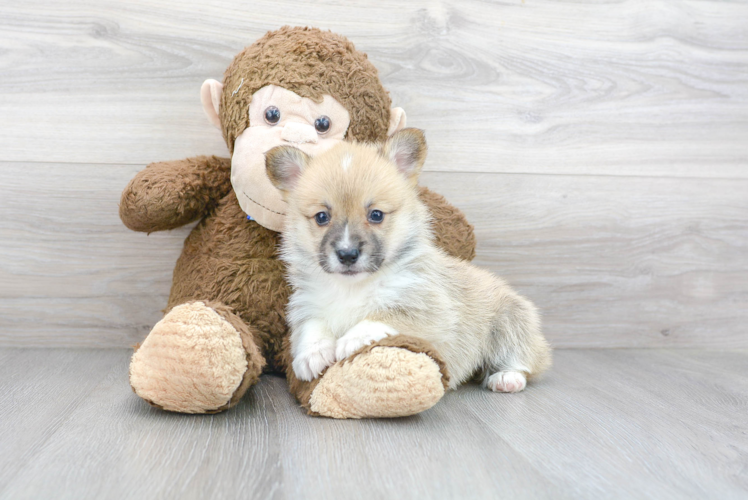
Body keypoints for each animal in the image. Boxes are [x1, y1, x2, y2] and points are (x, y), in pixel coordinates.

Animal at [264, 130, 548, 394]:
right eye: (322, 217)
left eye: (376, 215)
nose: (347, 254)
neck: (353, 288)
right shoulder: (308, 305)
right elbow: (312, 326)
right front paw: (311, 354)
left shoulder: (429, 310)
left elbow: (385, 314)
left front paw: (353, 338)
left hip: (510, 322)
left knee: (525, 359)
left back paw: (507, 378)